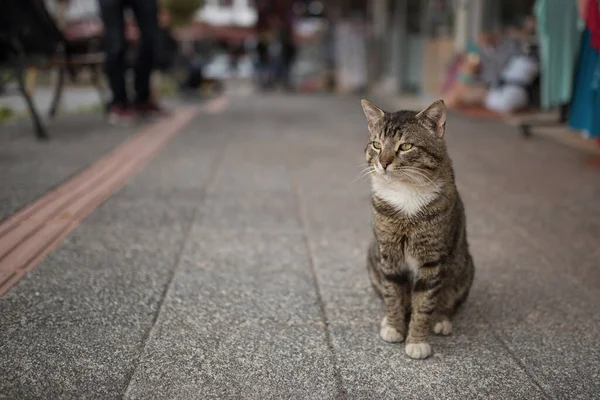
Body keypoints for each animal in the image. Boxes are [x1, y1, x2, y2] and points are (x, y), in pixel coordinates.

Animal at [360, 97, 474, 360]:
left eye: (406, 146)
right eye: (377, 145)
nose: (383, 162)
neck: (405, 194)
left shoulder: (432, 259)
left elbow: (424, 302)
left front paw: (417, 341)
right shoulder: (389, 253)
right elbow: (393, 292)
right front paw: (394, 326)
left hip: (464, 265)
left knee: (448, 300)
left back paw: (441, 320)